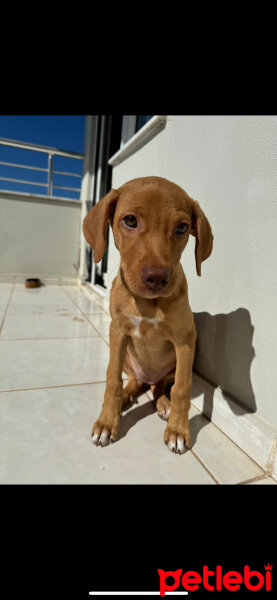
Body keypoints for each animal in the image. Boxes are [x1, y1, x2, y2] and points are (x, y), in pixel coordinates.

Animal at [81, 177, 211, 454]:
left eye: (182, 227)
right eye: (130, 220)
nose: (157, 278)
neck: (147, 304)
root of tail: (147, 378)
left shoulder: (185, 341)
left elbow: (181, 389)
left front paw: (178, 431)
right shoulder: (117, 331)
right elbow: (112, 380)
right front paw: (107, 422)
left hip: (174, 366)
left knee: (159, 388)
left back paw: (163, 405)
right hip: (127, 358)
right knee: (132, 382)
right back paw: (126, 398)